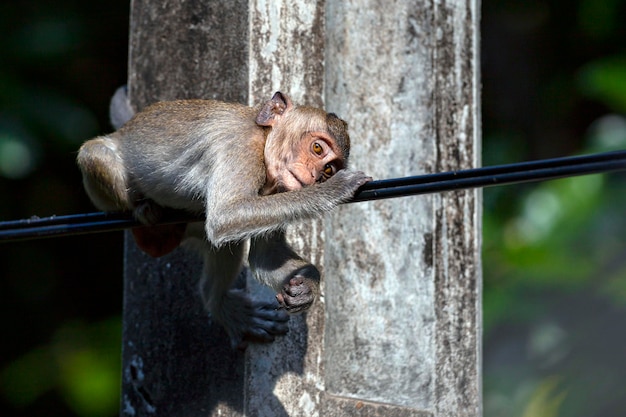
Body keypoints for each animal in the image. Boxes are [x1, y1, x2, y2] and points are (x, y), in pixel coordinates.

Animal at [78, 88, 370, 348]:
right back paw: (144, 210)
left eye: (328, 169)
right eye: (318, 148)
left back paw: (217, 300)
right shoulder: (240, 145)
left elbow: (264, 256)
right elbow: (226, 217)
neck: (264, 137)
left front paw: (306, 286)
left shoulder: (280, 188)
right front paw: (334, 190)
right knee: (96, 155)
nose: (315, 177)